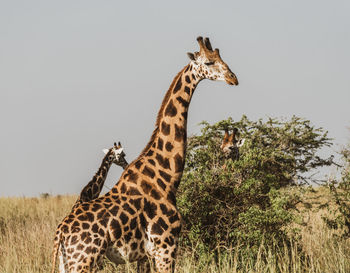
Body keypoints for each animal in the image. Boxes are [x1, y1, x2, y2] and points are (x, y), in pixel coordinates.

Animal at [51, 36, 238, 272]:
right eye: (208, 62)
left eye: (221, 58)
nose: (233, 78)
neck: (167, 177)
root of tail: (60, 235)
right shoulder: (166, 246)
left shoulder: (144, 255)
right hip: (83, 261)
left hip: (68, 263)